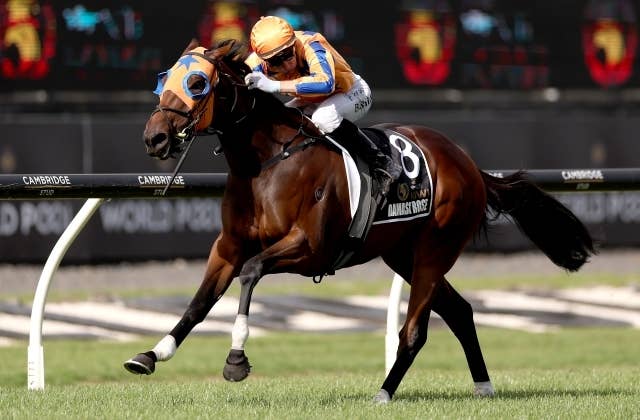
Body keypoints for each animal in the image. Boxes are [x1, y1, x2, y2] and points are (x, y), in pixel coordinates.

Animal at [124, 39, 595, 403]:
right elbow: (200, 302)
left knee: (415, 331)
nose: (154, 137)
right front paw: (150, 355)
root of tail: (469, 164)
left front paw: (236, 359)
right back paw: (483, 386)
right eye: (164, 79)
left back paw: (384, 392)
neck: (269, 161)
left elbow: (252, 273)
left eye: (197, 83)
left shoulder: (310, 249)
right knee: (460, 311)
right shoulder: (229, 245)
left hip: (435, 249)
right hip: (403, 254)